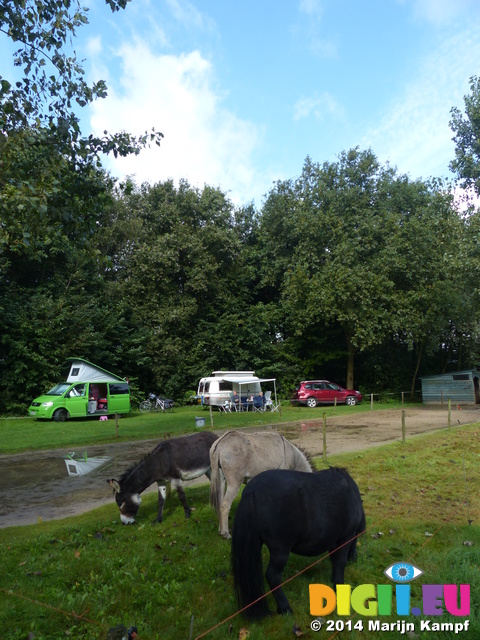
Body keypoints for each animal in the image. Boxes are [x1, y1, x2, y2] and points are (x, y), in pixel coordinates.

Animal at [232, 468, 364, 616]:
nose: (354, 558)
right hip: (281, 551)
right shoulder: (346, 537)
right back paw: (285, 608)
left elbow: (335, 562)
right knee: (273, 576)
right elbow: (340, 563)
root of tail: (252, 489)